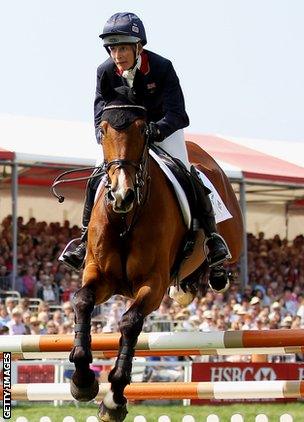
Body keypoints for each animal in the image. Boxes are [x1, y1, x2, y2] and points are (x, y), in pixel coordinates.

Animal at [68, 73, 242, 422]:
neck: (127, 217)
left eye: (142, 129)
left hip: (234, 238)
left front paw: (114, 399)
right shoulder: (101, 276)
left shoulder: (153, 283)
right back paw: (185, 286)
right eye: (103, 130)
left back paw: (211, 266)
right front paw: (82, 380)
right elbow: (82, 301)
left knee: (217, 259)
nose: (122, 194)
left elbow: (130, 322)